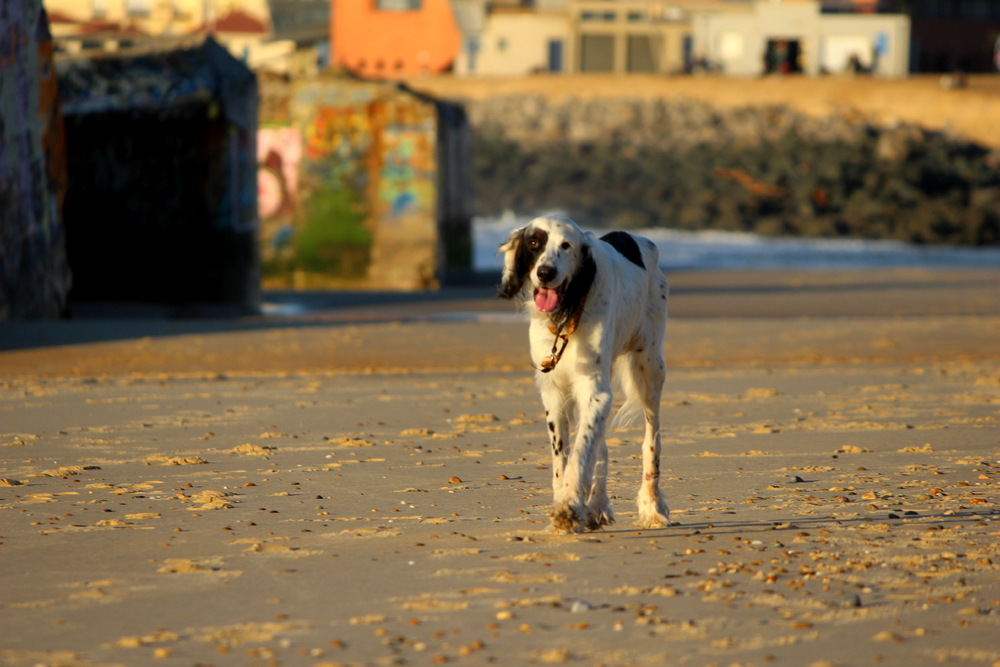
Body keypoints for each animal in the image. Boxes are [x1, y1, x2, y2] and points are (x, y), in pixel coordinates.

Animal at [500, 217, 672, 536]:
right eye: (534, 242)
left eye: (566, 245)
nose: (545, 273)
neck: (566, 312)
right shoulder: (554, 392)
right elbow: (563, 458)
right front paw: (568, 506)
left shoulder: (594, 389)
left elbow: (581, 452)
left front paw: (568, 505)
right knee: (601, 444)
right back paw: (597, 506)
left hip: (650, 369)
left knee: (651, 440)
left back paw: (652, 506)